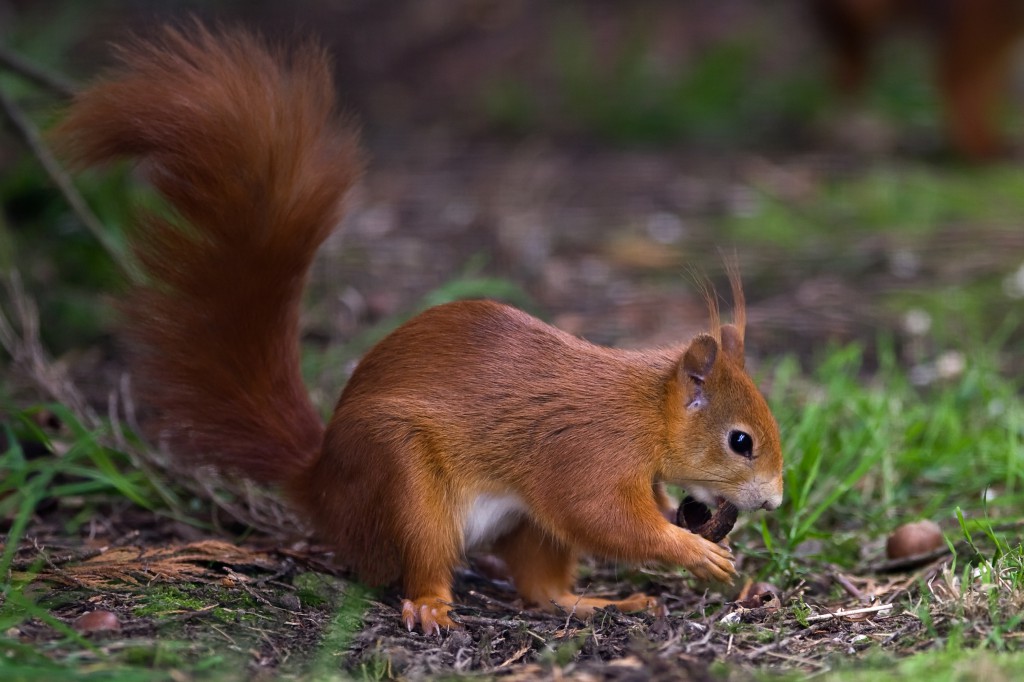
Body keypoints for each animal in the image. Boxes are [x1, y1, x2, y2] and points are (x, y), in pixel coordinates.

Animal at [54, 25, 782, 630]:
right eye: (741, 441)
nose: (774, 503)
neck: (644, 412)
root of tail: (322, 485)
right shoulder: (587, 450)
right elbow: (599, 516)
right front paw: (691, 549)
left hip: (520, 520)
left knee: (541, 586)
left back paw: (599, 602)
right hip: (401, 481)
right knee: (425, 560)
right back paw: (431, 606)